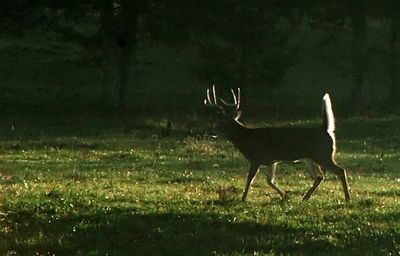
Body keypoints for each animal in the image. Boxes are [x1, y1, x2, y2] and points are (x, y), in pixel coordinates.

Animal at [205, 85, 352, 202]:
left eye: (221, 122)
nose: (212, 131)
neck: (246, 138)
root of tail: (325, 129)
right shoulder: (272, 161)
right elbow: (269, 181)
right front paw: (285, 196)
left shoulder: (256, 157)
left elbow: (250, 178)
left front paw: (243, 198)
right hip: (310, 157)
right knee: (319, 176)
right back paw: (305, 198)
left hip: (322, 154)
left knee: (340, 171)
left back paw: (347, 198)